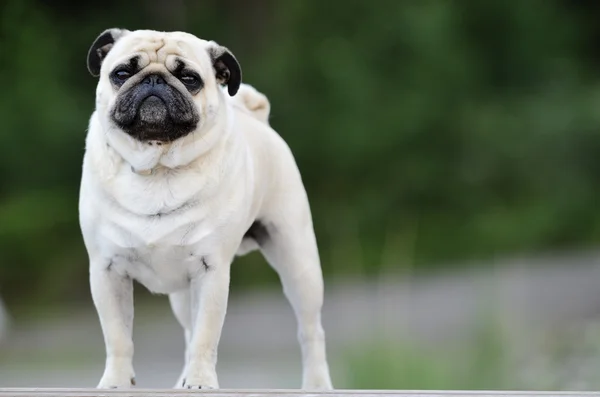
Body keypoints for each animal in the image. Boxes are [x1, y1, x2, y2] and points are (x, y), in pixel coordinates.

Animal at [78, 28, 336, 390]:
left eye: (189, 78)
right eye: (122, 73)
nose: (155, 80)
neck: (158, 167)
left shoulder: (211, 271)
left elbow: (205, 337)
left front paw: (200, 382)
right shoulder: (106, 270)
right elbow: (118, 338)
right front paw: (115, 382)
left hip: (299, 264)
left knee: (311, 330)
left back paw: (317, 384)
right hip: (183, 294)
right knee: (187, 332)